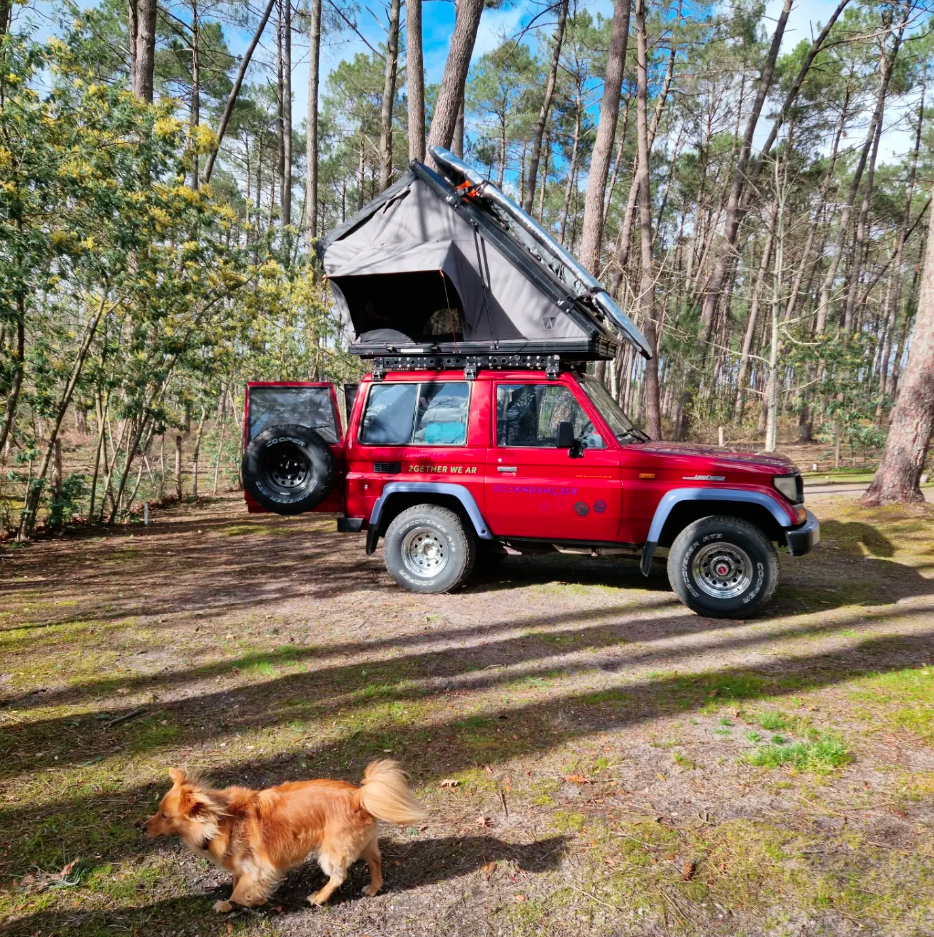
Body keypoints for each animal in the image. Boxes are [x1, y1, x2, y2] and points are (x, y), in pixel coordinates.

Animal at [143, 760, 428, 908]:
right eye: (157, 811)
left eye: (164, 816)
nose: (142, 827)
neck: (222, 819)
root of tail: (359, 795)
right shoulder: (242, 864)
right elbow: (236, 881)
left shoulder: (260, 867)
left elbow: (240, 890)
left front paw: (234, 903)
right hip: (363, 842)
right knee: (376, 860)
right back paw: (374, 887)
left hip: (332, 852)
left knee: (338, 876)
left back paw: (319, 897)